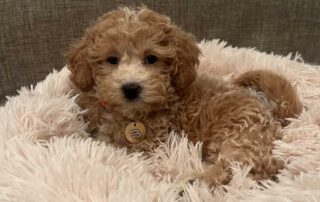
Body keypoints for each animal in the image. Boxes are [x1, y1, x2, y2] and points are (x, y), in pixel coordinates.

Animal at [67, 8, 302, 188]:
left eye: (151, 58)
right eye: (111, 60)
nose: (131, 88)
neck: (131, 114)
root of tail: (272, 113)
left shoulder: (150, 145)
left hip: (240, 134)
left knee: (244, 168)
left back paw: (190, 180)